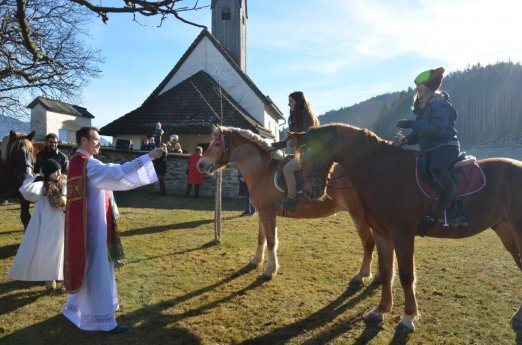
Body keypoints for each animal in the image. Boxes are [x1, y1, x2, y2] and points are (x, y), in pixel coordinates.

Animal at [197, 124, 376, 282]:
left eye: (217, 144)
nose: (200, 164)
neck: (263, 170)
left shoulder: (268, 213)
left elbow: (271, 241)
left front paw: (269, 270)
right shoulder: (262, 212)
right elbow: (261, 238)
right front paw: (256, 260)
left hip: (358, 215)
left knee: (369, 242)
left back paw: (361, 275)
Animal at [290, 123, 520, 330]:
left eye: (309, 152)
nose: (309, 190)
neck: (383, 171)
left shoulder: (403, 234)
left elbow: (406, 275)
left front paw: (409, 317)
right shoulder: (382, 234)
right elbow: (386, 271)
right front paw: (380, 310)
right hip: (507, 232)